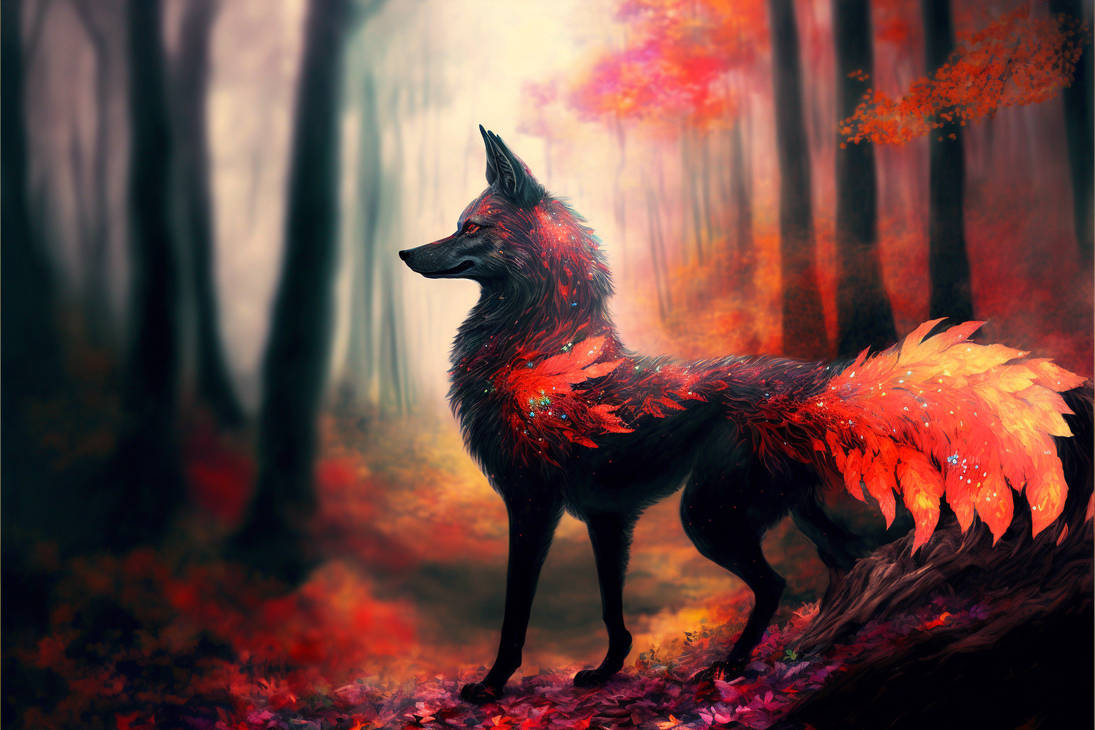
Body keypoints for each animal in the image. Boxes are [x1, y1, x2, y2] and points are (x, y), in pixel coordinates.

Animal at [398, 126, 1091, 704]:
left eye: (470, 228)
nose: (406, 254)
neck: (535, 351)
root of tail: (817, 387)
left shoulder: (532, 503)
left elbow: (515, 613)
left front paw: (491, 686)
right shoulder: (606, 516)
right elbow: (612, 608)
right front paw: (607, 670)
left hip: (708, 516)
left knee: (778, 584)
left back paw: (733, 667)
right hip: (785, 513)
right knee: (853, 561)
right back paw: (824, 643)